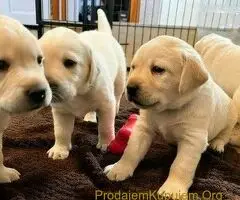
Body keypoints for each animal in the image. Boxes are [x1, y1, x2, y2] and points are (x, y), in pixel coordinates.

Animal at [39, 9, 125, 159]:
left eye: (70, 62)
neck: (78, 93)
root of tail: (103, 33)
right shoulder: (61, 111)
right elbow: (61, 131)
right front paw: (60, 149)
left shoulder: (106, 104)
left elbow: (106, 127)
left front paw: (107, 143)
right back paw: (90, 117)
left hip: (120, 79)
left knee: (118, 96)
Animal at [104, 35, 237, 197]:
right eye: (134, 67)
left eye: (158, 69)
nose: (129, 88)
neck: (168, 109)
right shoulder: (143, 128)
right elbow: (132, 150)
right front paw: (119, 168)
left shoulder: (193, 139)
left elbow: (181, 165)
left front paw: (173, 189)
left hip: (230, 118)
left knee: (225, 134)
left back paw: (217, 144)